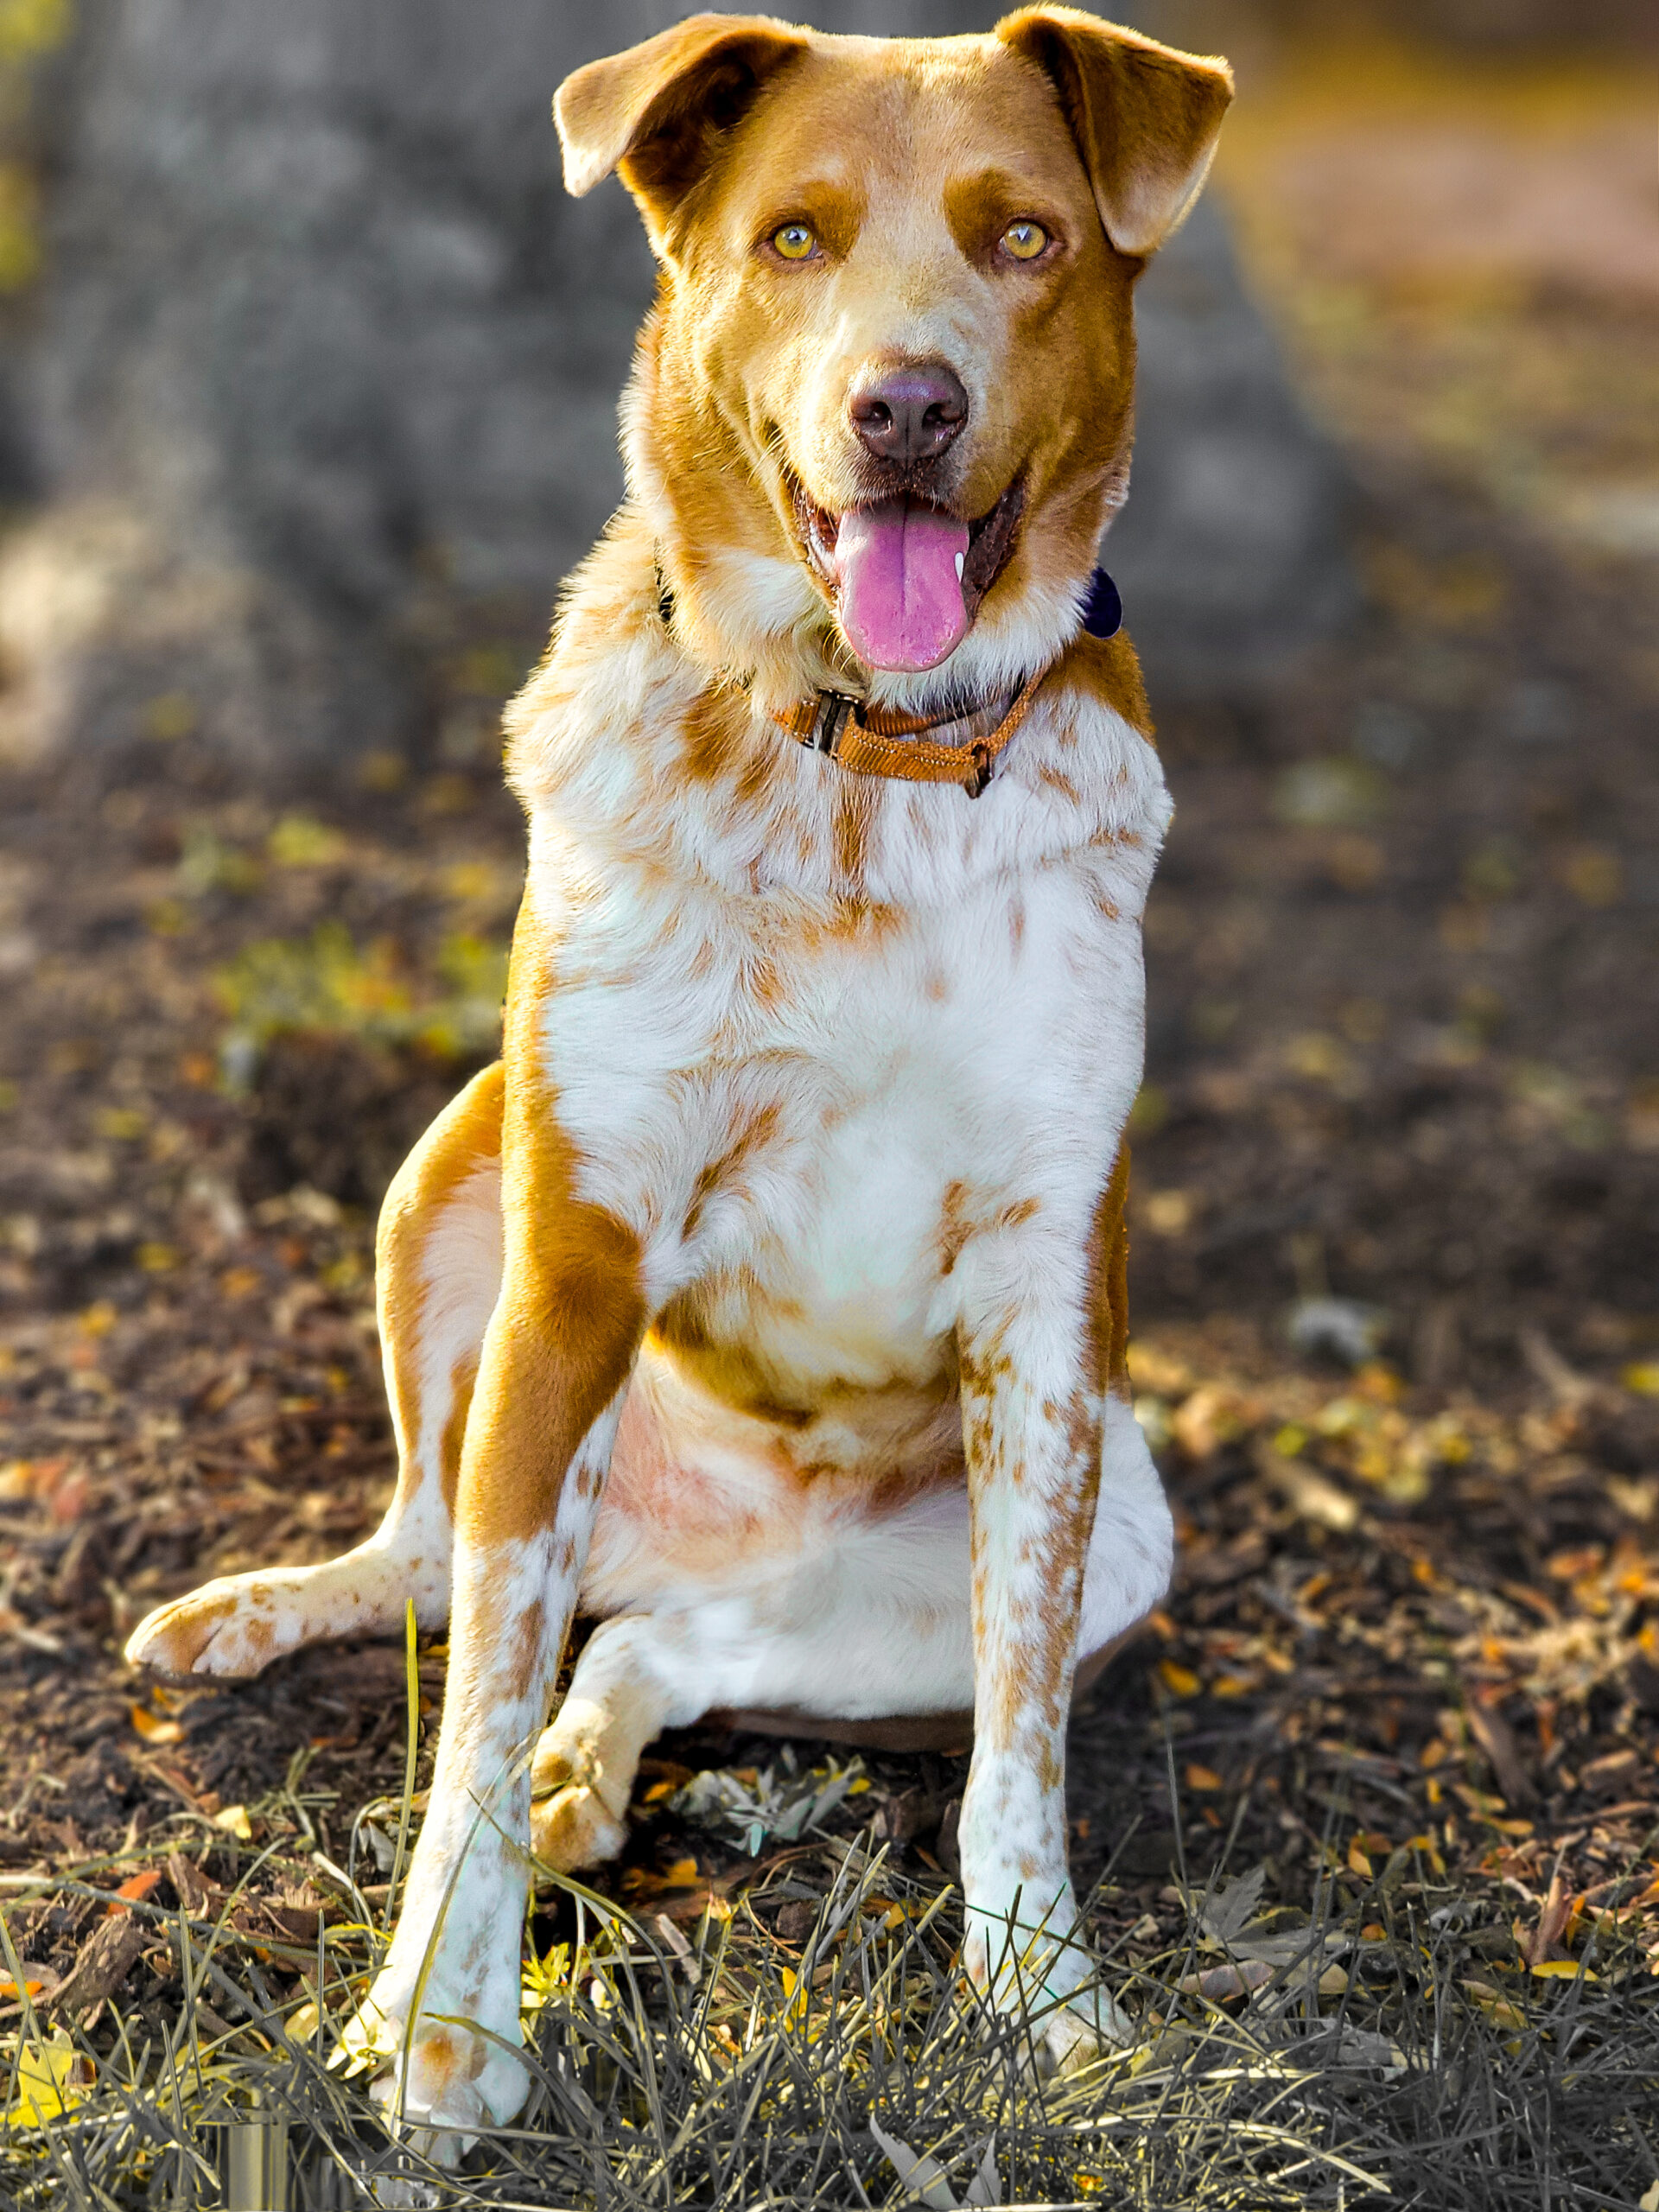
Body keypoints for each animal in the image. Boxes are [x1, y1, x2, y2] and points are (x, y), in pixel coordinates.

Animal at [126, 9, 1238, 2158]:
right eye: (795, 235)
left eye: (1029, 237)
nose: (907, 407)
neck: (865, 763)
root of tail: (699, 1525)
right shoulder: (575, 1264)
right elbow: (467, 1720)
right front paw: (437, 2025)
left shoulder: (1053, 1304)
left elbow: (1022, 1747)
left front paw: (1044, 2005)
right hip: (453, 1178)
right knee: (440, 1558)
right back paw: (268, 1617)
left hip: (1083, 1530)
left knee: (661, 1634)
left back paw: (601, 1754)